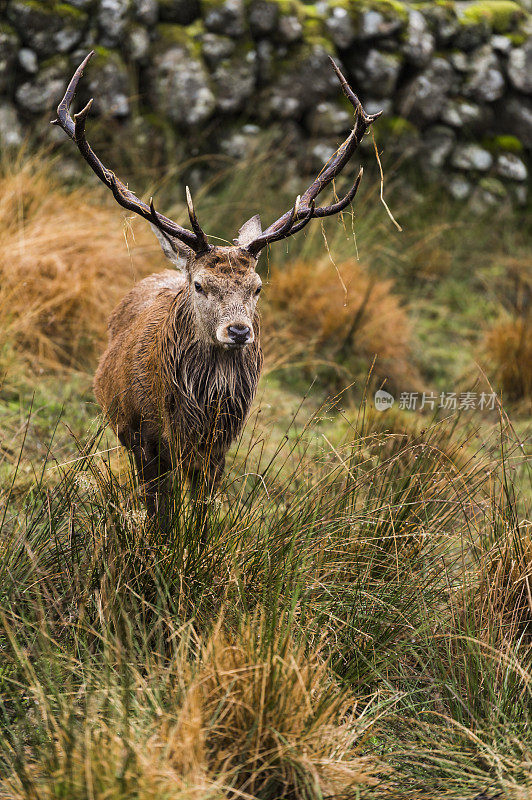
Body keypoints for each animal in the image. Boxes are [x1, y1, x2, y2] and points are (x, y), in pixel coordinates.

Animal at [52, 53, 380, 520]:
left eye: (257, 286)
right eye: (200, 285)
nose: (239, 331)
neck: (191, 416)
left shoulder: (219, 447)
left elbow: (202, 514)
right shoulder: (146, 439)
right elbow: (161, 514)